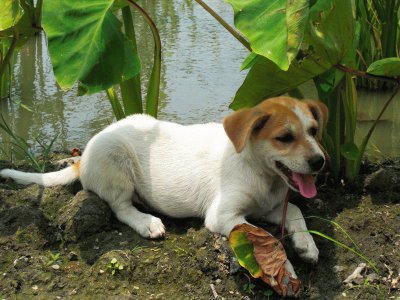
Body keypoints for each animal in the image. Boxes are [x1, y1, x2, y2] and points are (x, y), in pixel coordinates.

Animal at [0, 96, 328, 272]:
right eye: (284, 138)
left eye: (314, 131)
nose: (319, 162)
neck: (261, 172)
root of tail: (86, 153)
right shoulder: (223, 216)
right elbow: (267, 238)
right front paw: (284, 265)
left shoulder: (269, 207)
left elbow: (295, 210)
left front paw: (306, 245)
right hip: (115, 160)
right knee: (120, 207)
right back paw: (146, 222)